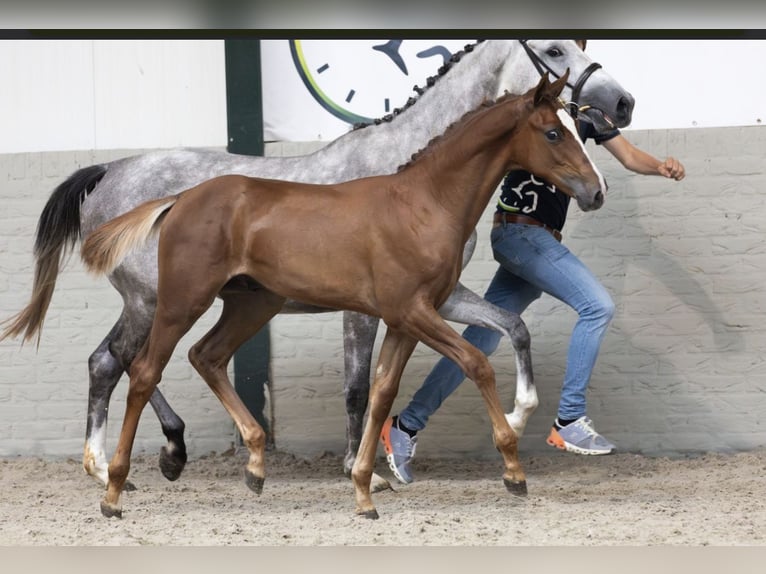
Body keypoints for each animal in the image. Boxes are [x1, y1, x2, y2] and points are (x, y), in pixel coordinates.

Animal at [1, 40, 633, 492]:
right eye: (554, 50)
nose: (621, 103)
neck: (411, 176)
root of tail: (109, 170)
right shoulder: (373, 309)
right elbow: (358, 388)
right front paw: (361, 467)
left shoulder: (439, 298)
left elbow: (511, 327)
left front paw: (522, 415)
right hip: (156, 299)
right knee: (120, 362)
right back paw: (124, 461)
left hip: (171, 300)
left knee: (117, 361)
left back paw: (148, 458)